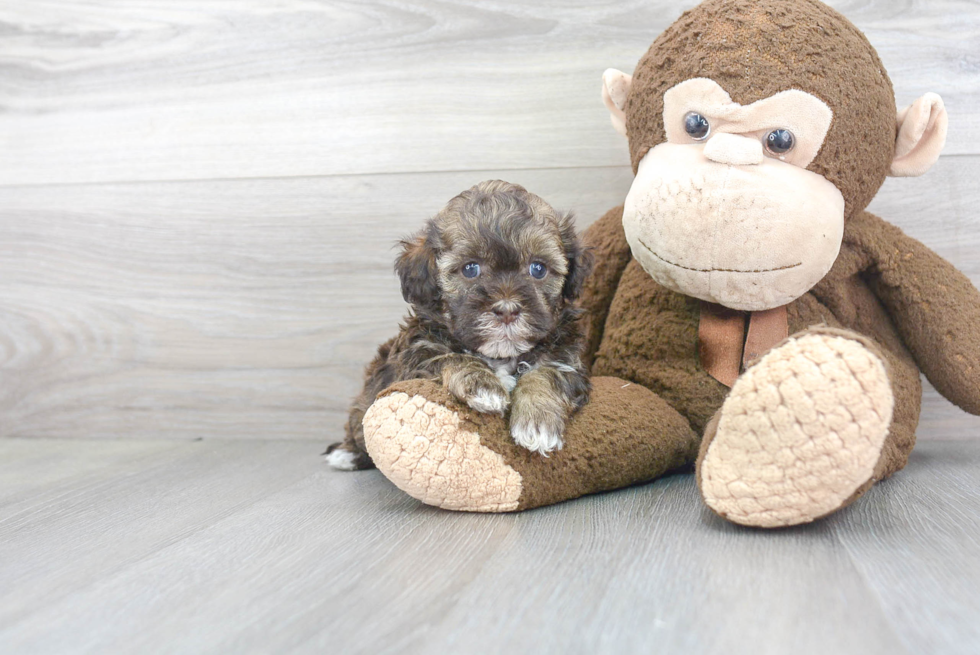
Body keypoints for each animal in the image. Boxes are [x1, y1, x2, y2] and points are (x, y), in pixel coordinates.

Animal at [326, 178, 592, 472]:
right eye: (470, 268)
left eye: (538, 268)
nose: (507, 310)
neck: (500, 356)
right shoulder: (416, 356)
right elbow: (451, 357)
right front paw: (484, 385)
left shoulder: (567, 360)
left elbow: (547, 373)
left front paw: (537, 421)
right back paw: (346, 454)